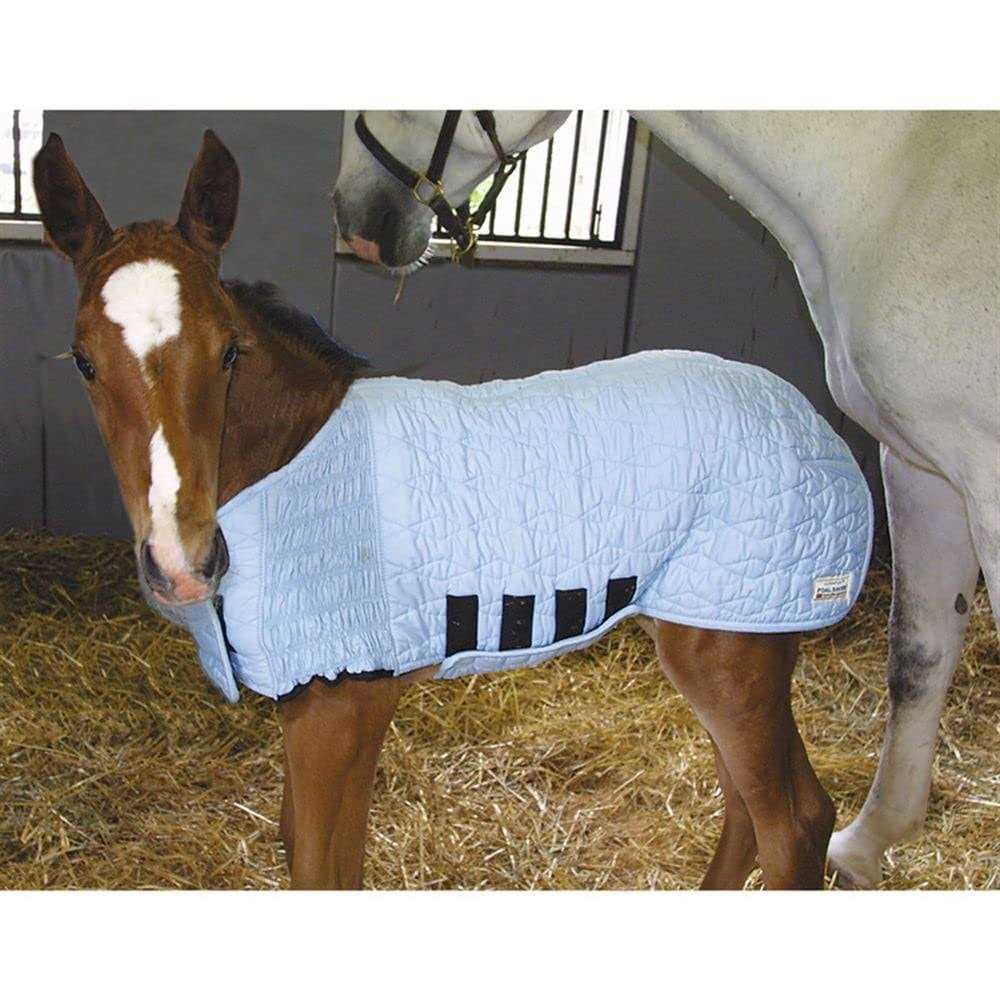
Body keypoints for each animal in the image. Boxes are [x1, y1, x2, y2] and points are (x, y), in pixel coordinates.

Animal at [32, 129, 877, 890]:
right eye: (84, 361)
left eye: (229, 351)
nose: (182, 564)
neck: (299, 453)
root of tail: (815, 424)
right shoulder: (310, 700)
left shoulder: (347, 703)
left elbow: (325, 872)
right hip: (731, 635)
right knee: (753, 809)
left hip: (732, 652)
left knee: (790, 824)